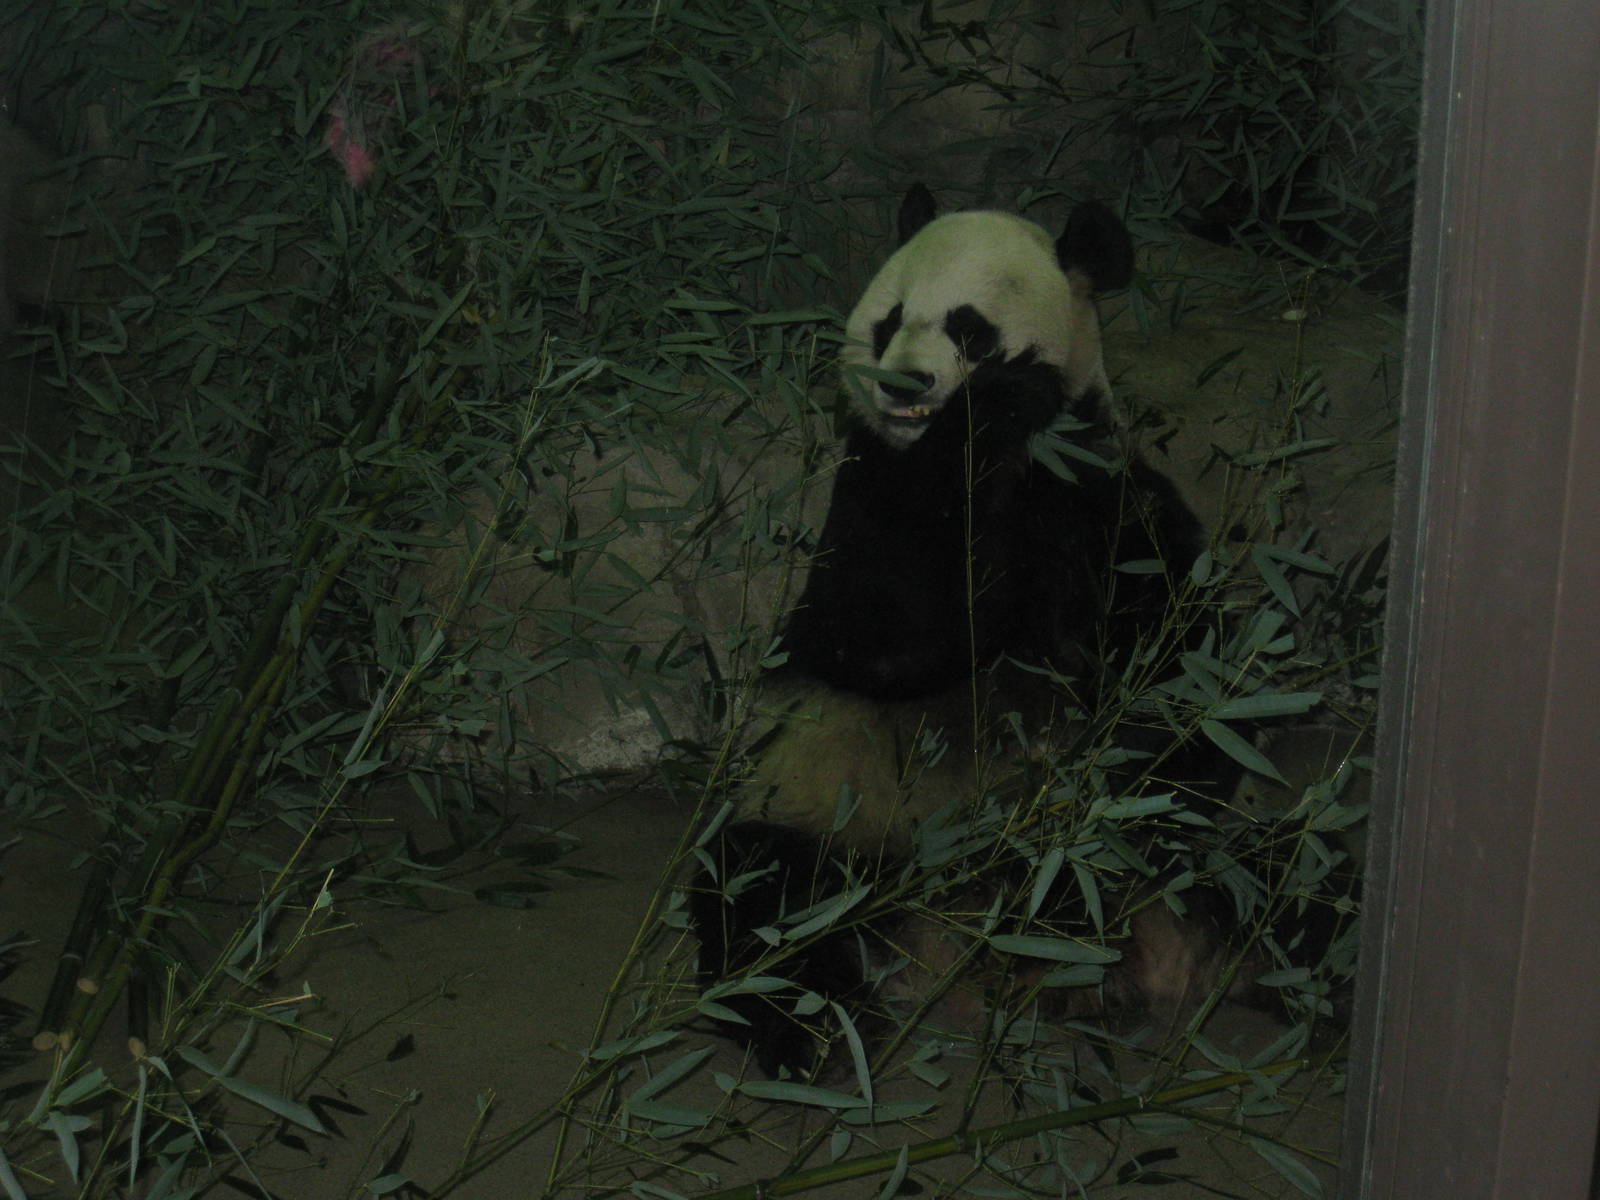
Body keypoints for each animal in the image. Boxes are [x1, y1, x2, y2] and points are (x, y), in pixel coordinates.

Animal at [689, 185, 1245, 1080]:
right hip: (831, 806)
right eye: (889, 319)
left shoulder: (1106, 500)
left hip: (1187, 875)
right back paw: (816, 1034)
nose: (902, 383)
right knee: (764, 899)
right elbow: (885, 637)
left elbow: (1184, 677)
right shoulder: (869, 495)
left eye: (968, 328)